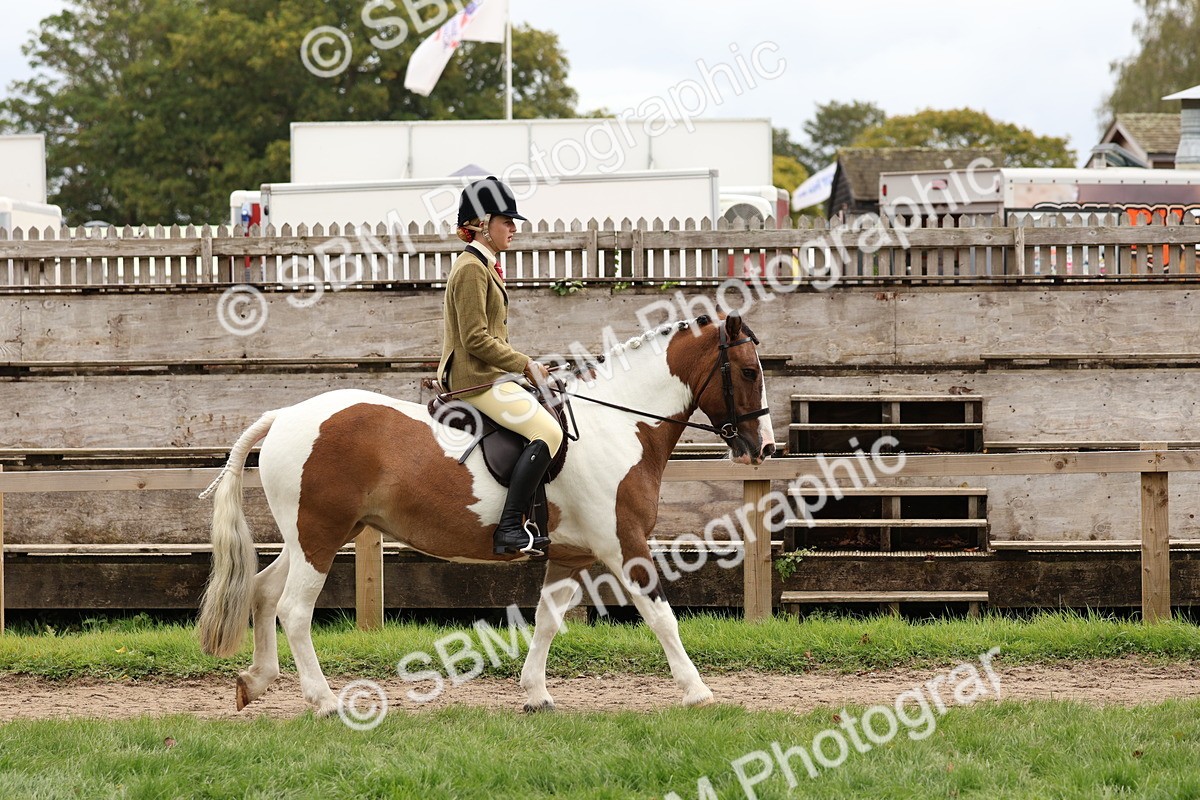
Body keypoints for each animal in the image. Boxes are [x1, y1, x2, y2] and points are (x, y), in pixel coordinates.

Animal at [197, 312, 775, 716]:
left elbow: (547, 619)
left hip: (308, 539)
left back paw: (255, 682)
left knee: (264, 592)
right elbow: (661, 616)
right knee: (294, 610)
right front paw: (698, 692)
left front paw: (536, 694)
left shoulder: (570, 555)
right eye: (749, 371)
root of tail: (284, 415)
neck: (618, 426)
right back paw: (324, 702)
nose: (765, 448)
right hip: (319, 537)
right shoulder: (623, 544)